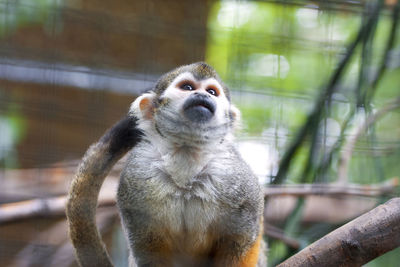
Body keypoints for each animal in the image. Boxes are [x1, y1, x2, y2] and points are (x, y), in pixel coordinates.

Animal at [66, 63, 266, 267]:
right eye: (188, 87)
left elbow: (243, 237)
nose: (203, 95)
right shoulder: (137, 174)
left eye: (212, 91)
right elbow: (149, 247)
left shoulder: (235, 179)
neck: (187, 156)